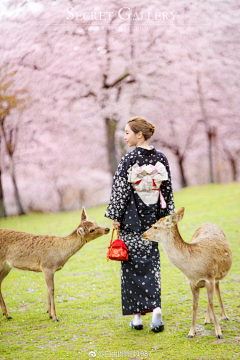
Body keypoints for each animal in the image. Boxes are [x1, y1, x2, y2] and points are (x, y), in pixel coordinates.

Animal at [142, 207, 232, 338]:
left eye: (155, 227)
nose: (143, 234)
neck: (193, 269)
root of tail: (208, 223)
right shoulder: (192, 282)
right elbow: (194, 304)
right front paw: (191, 332)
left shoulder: (210, 276)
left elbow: (211, 302)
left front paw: (218, 333)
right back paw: (207, 320)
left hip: (216, 275)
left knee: (217, 289)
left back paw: (225, 316)